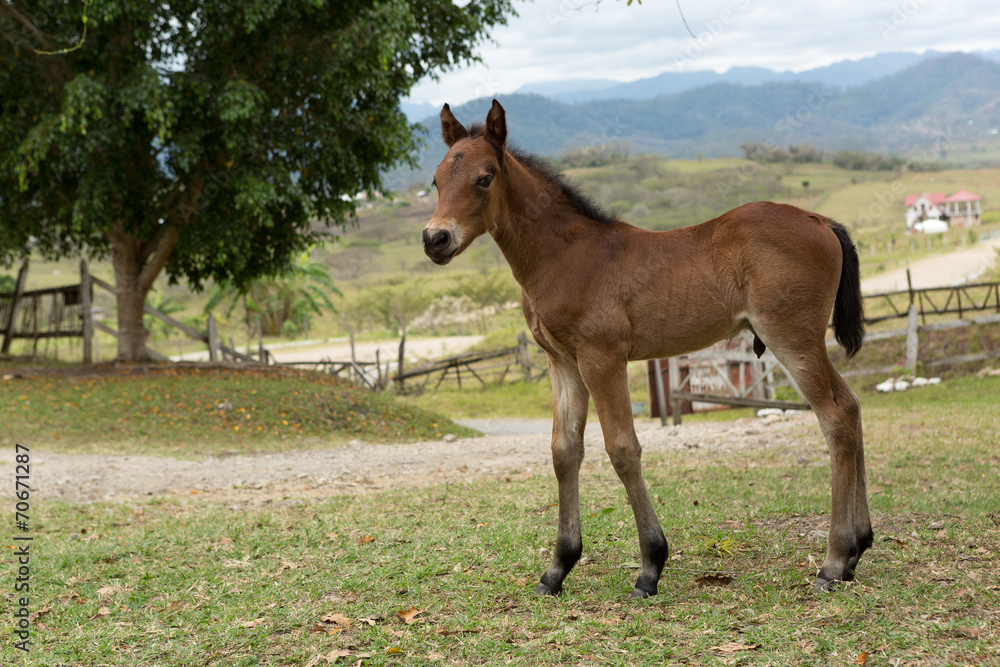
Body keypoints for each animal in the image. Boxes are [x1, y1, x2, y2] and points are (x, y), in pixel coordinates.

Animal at [421, 99, 873, 599]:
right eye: (436, 180)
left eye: (484, 178)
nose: (435, 239)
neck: (564, 256)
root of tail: (820, 221)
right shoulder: (562, 363)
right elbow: (564, 451)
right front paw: (558, 568)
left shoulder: (602, 358)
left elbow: (622, 449)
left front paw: (650, 566)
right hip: (804, 340)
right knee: (851, 406)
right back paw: (858, 547)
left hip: (792, 338)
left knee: (835, 418)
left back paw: (833, 561)